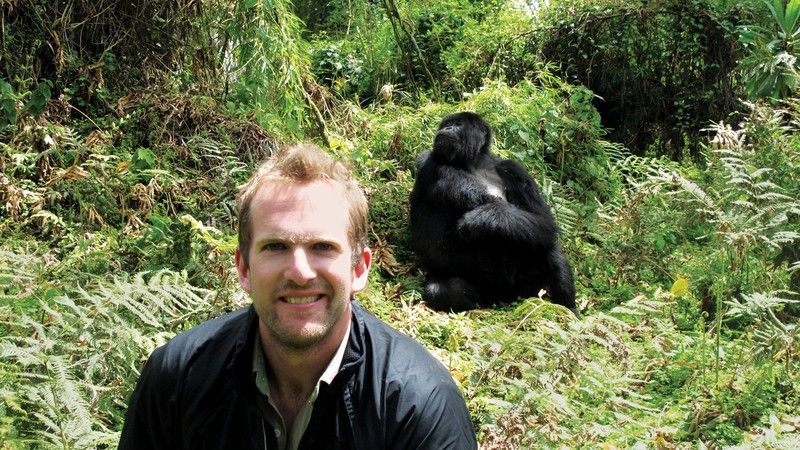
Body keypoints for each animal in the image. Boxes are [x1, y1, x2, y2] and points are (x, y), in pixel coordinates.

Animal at [412, 112, 576, 314]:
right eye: (446, 125)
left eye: (458, 124)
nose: (446, 129)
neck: (474, 163)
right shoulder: (430, 160)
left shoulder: (513, 169)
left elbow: (543, 222)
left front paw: (484, 218)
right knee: (438, 290)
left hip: (524, 290)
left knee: (550, 251)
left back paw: (569, 309)